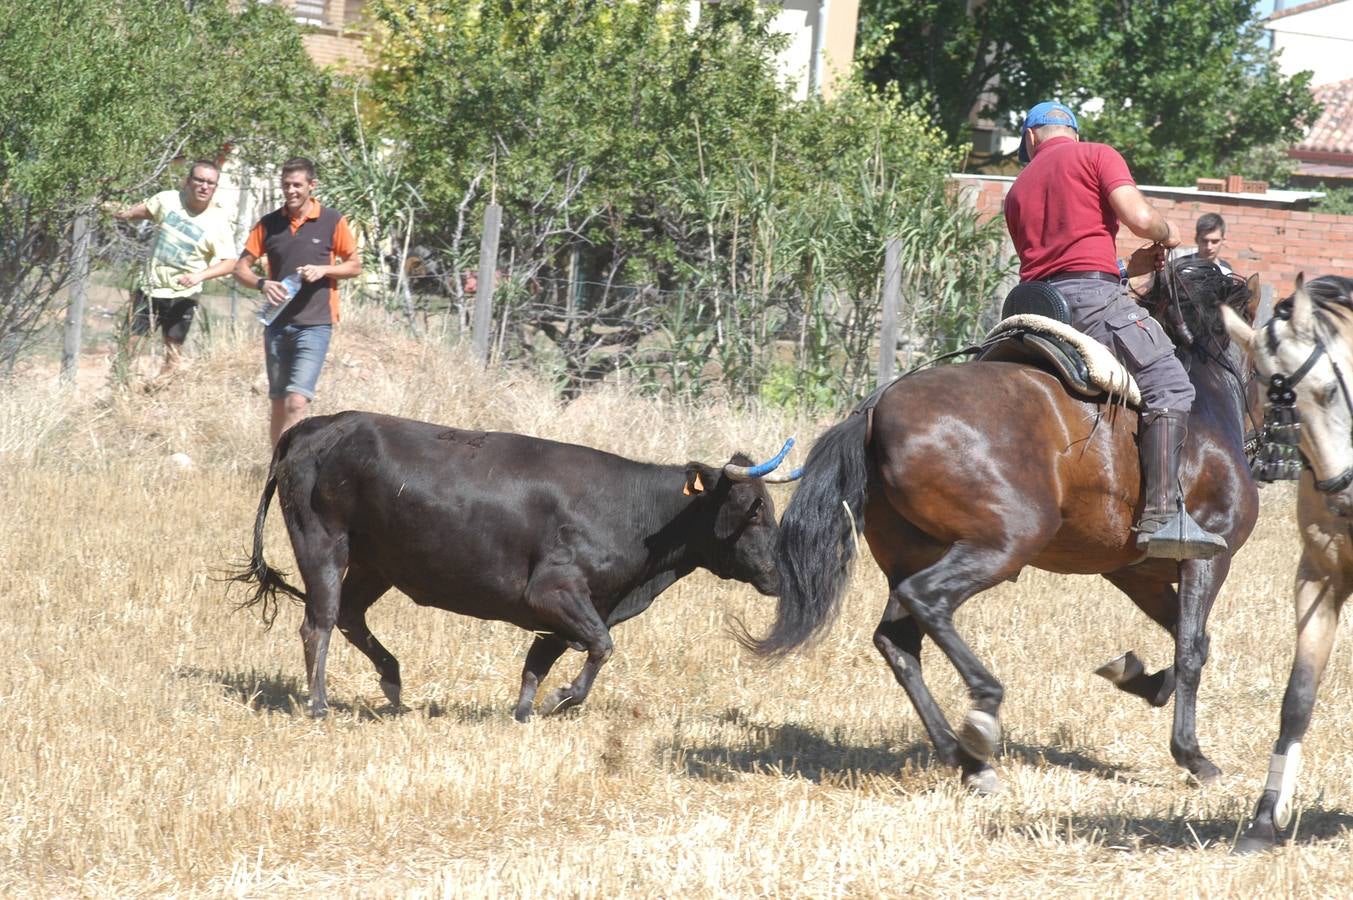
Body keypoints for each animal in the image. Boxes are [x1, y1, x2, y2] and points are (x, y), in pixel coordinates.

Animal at [232, 411, 790, 720]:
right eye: (752, 509)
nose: (778, 573)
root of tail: (317, 425)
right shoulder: (554, 591)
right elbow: (600, 646)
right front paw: (564, 698)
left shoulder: (568, 611)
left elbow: (539, 662)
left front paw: (525, 711)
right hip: (323, 543)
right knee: (319, 623)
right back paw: (319, 704)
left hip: (376, 563)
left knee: (349, 617)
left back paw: (393, 684)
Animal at [741, 261, 1255, 795]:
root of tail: (874, 412)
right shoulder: (1207, 561)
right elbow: (1191, 648)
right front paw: (1193, 754)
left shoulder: (1136, 572)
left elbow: (1186, 639)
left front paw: (1138, 677)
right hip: (1004, 545)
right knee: (927, 600)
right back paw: (983, 712)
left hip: (920, 551)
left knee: (897, 640)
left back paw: (964, 758)